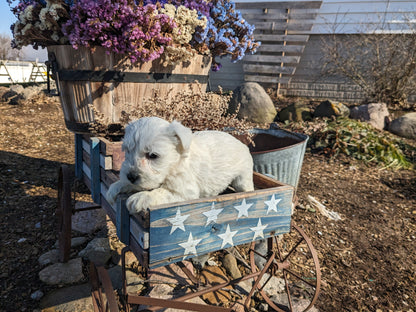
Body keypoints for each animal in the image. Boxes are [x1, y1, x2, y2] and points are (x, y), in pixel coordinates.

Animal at [105, 116, 254, 213]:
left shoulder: (185, 193)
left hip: (243, 179)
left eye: (153, 155)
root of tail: (242, 144)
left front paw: (141, 197)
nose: (131, 176)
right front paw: (115, 187)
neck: (174, 164)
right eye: (127, 151)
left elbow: (161, 192)